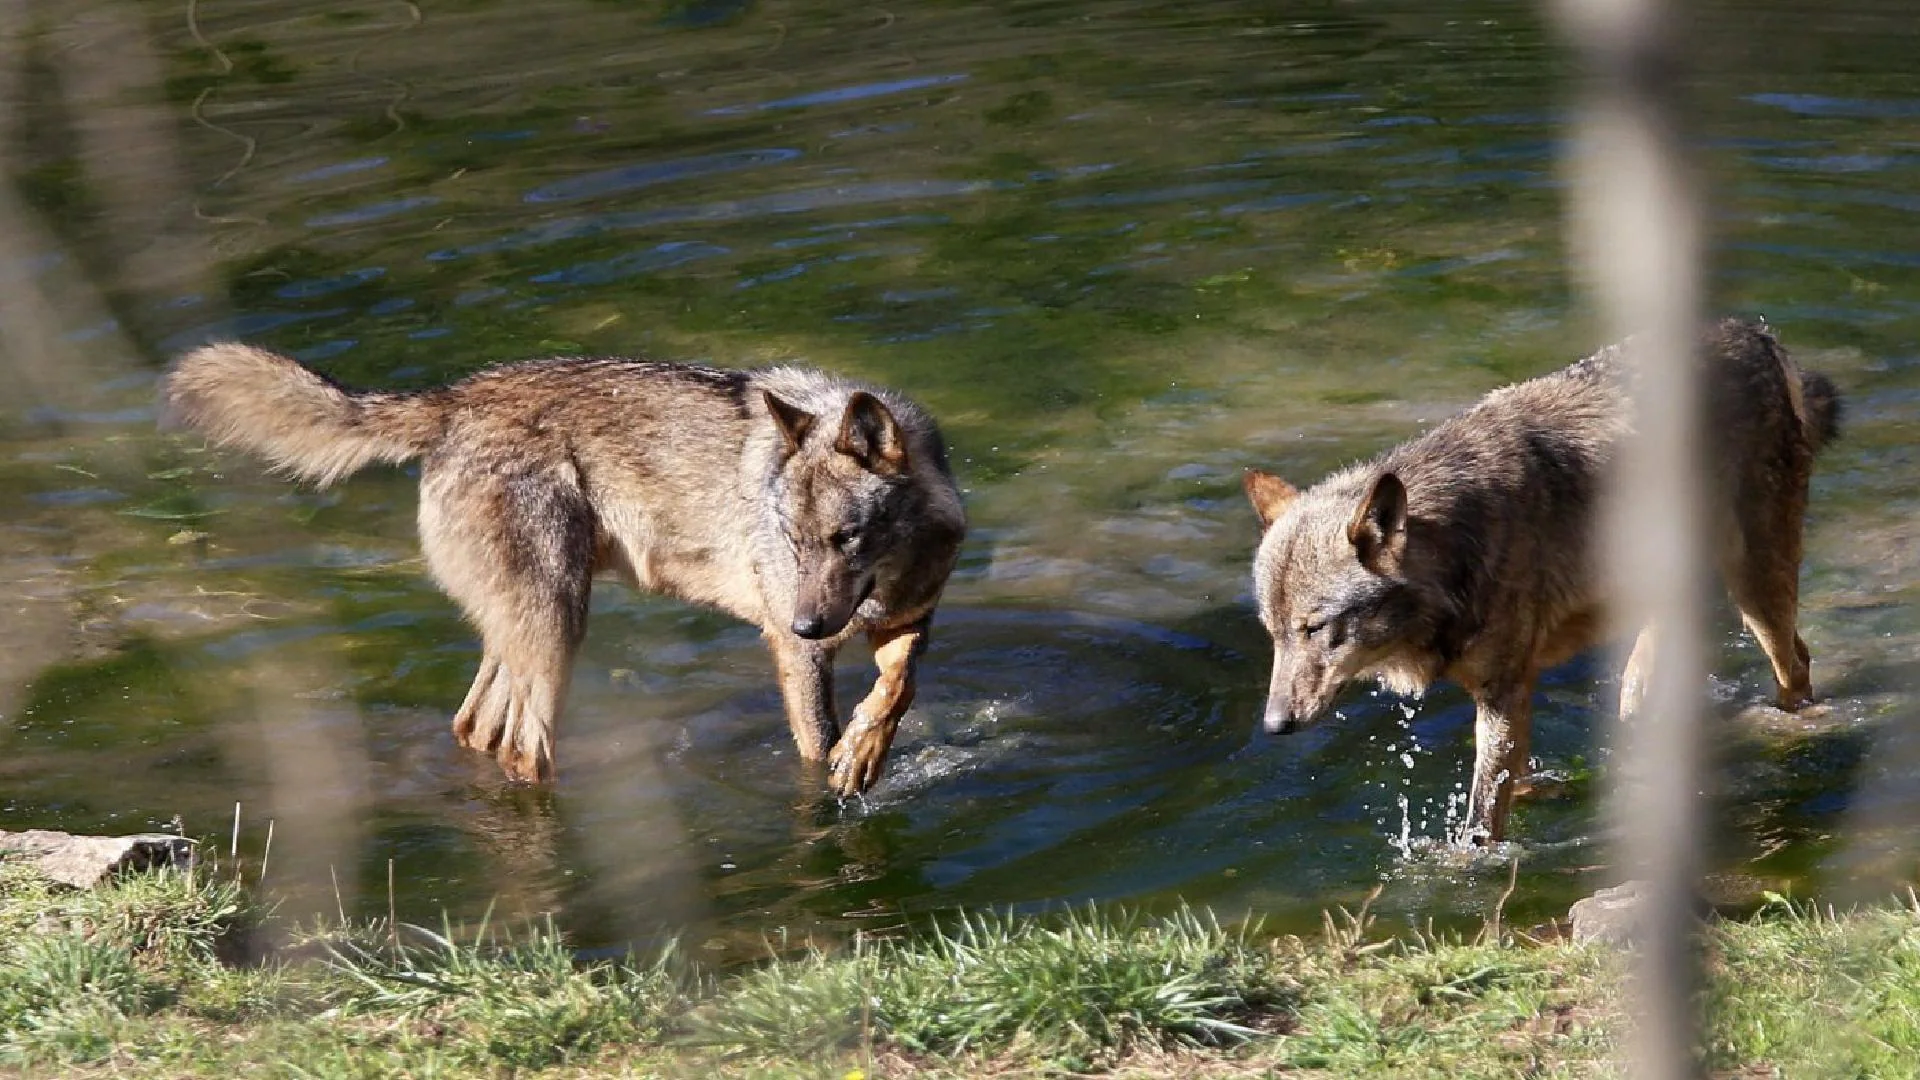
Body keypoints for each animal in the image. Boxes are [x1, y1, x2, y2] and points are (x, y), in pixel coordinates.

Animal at [159, 343, 967, 791]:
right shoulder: (791, 648)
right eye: (791, 540)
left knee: (475, 729)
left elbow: (897, 687)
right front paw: (835, 781)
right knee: (522, 747)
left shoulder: (909, 620)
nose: (807, 623)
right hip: (556, 630)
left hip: (526, 633)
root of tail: (452, 398)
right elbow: (814, 745)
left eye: (846, 538)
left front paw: (865, 752)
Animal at [1244, 317, 1843, 841]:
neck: (1457, 541)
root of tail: (1758, 335)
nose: (1273, 726)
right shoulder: (1513, 690)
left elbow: (1481, 819)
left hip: (1756, 589)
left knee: (1797, 664)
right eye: (1273, 634)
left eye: (1315, 628)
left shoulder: (1503, 691)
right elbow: (1517, 779)